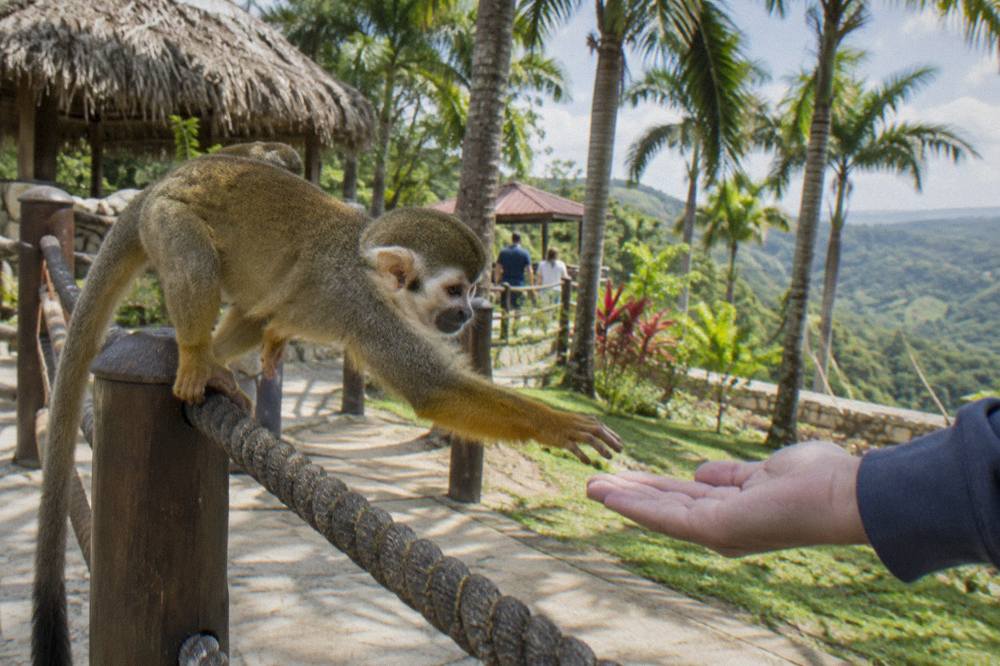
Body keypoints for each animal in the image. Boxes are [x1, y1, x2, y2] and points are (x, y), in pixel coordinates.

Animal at [32, 152, 622, 665]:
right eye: (455, 289)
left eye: (473, 290)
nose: (469, 314)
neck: (375, 278)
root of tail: (158, 186)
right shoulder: (366, 311)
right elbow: (433, 390)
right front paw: (562, 425)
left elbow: (273, 317)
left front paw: (273, 342)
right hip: (168, 219)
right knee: (197, 261)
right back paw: (198, 357)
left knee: (256, 307)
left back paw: (217, 354)